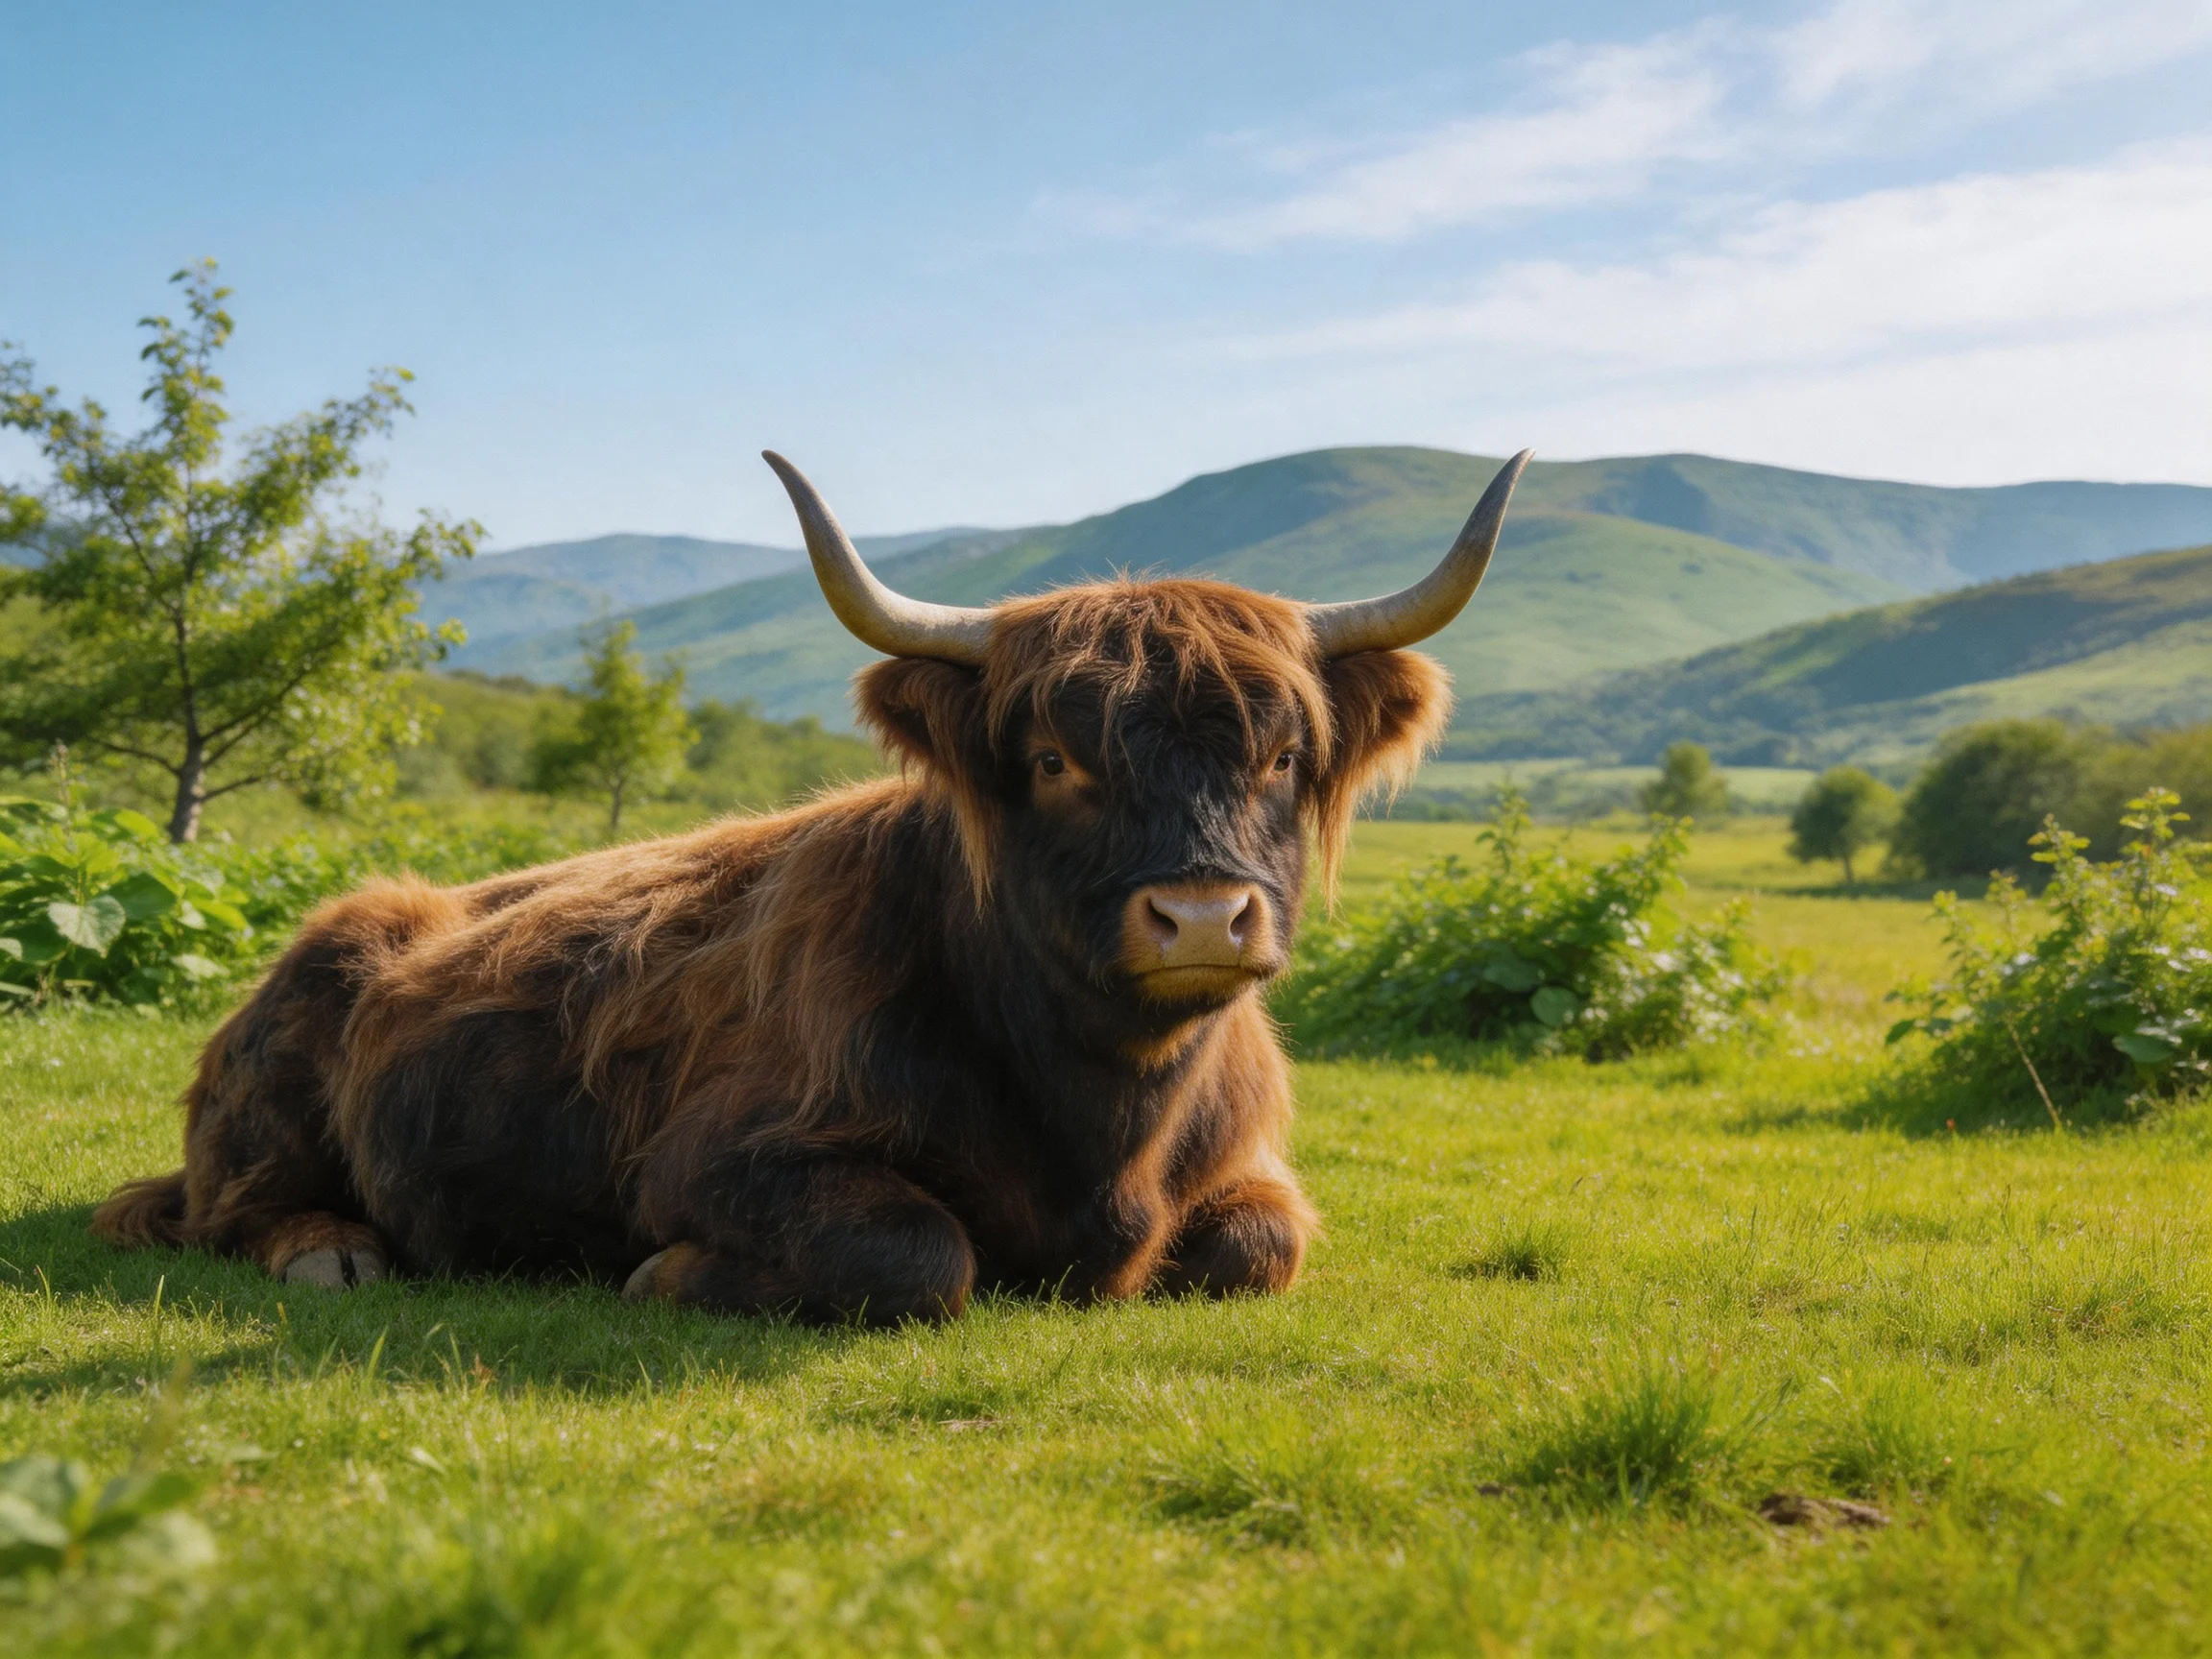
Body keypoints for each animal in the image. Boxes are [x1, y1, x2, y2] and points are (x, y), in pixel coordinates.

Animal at [90, 449, 1530, 1323]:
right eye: (1054, 759)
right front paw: (668, 1277)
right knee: (223, 1207)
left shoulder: (1251, 1172)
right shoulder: (728, 1155)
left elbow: (1254, 1248)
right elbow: (915, 1252)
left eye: (1285, 755)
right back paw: (334, 1253)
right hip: (272, 1093)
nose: (1200, 915)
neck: (1102, 1111)